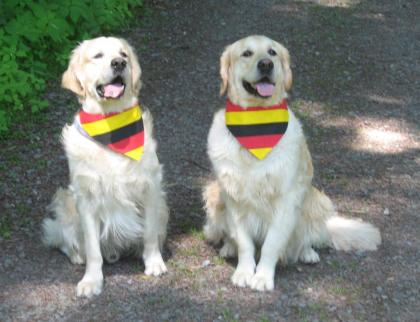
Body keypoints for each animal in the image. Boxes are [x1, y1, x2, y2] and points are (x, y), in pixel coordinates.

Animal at [41, 37, 167, 296]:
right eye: (97, 56)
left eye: (124, 54)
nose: (118, 63)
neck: (111, 127)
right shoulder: (87, 198)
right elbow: (92, 249)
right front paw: (91, 280)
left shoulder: (150, 187)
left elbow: (150, 233)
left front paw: (154, 262)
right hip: (66, 204)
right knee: (64, 240)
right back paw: (77, 256)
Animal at [203, 35, 380, 292]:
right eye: (247, 53)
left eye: (272, 52)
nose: (266, 64)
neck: (257, 124)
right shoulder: (234, 198)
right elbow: (244, 242)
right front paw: (244, 272)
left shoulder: (286, 201)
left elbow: (271, 244)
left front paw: (263, 277)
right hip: (214, 193)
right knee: (229, 236)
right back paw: (228, 248)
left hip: (317, 200)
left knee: (306, 238)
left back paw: (307, 253)